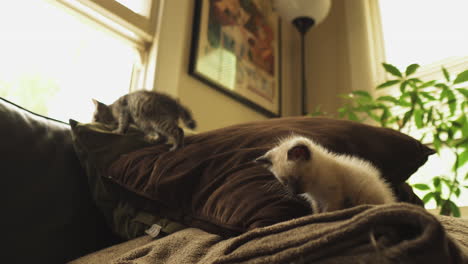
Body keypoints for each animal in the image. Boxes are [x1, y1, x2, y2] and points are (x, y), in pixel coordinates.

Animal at [256, 135, 394, 213]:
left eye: (298, 178)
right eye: (285, 183)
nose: (295, 193)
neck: (314, 186)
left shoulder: (332, 196)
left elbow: (328, 212)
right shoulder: (316, 200)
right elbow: (317, 212)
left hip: (362, 195)